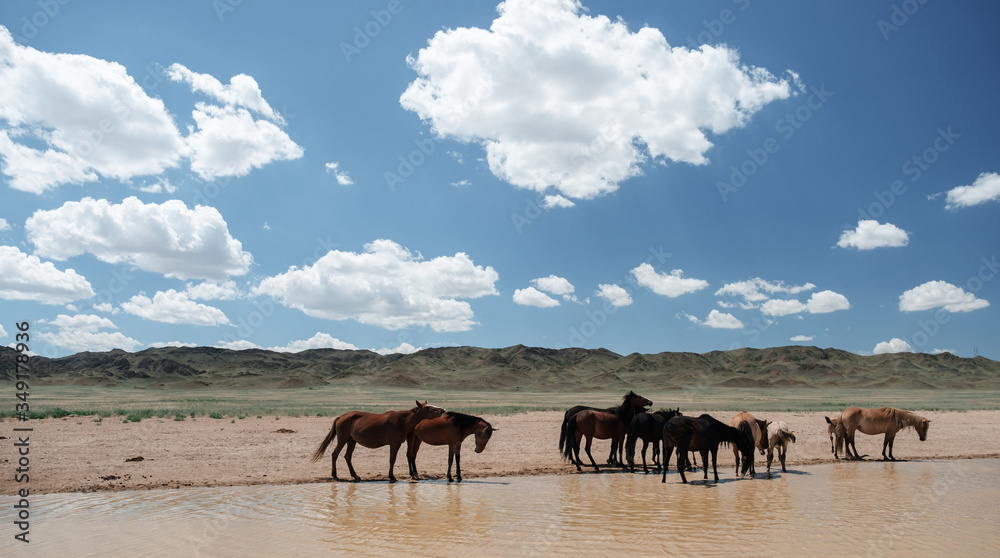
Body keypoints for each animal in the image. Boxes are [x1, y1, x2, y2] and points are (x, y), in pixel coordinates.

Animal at [311, 401, 445, 482]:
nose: (442, 410)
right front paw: (392, 476)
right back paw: (335, 475)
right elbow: (392, 460)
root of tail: (341, 417)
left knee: (347, 456)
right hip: (343, 440)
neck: (402, 421)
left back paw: (355, 475)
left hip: (351, 441)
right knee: (335, 454)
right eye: (428, 407)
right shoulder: (394, 444)